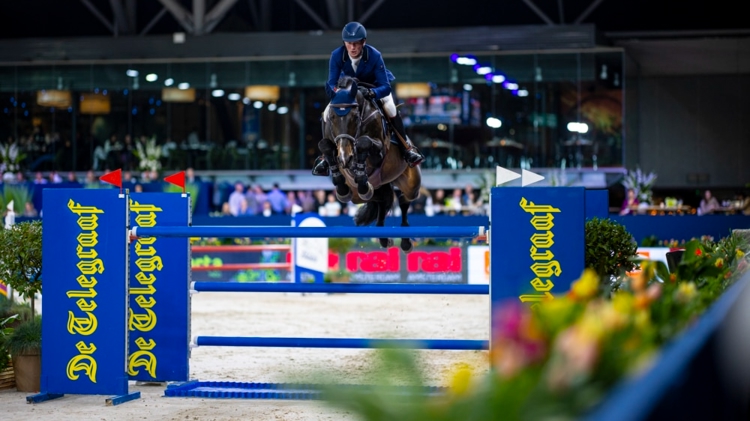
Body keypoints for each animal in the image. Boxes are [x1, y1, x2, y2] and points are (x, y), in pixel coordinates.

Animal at [318, 74, 424, 253]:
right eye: (332, 117)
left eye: (354, 117)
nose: (345, 157)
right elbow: (325, 146)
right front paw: (341, 183)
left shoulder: (379, 152)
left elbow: (364, 142)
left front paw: (358, 166)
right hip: (360, 195)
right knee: (382, 201)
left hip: (411, 183)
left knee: (404, 200)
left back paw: (405, 242)